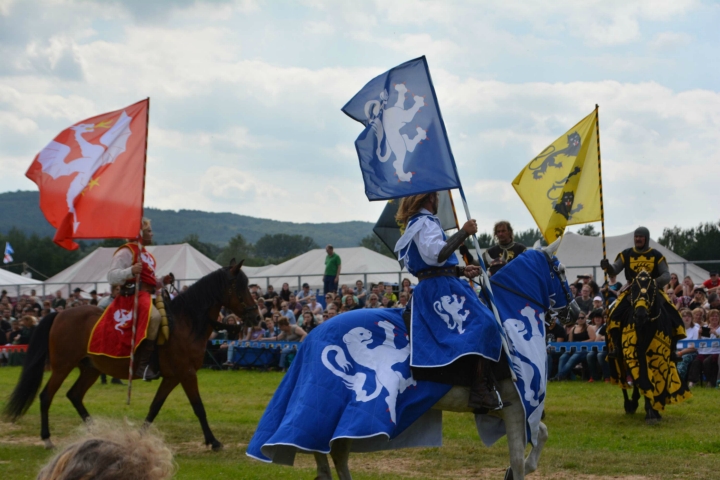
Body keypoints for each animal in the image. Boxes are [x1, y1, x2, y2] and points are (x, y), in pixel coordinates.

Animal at [3, 258, 258, 450]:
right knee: (46, 396)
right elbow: (198, 407)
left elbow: (155, 407)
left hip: (90, 369)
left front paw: (138, 437)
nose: (255, 315)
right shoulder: (186, 374)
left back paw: (95, 431)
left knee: (74, 395)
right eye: (240, 286)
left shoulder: (172, 377)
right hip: (62, 366)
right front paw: (213, 441)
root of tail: (59, 314)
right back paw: (47, 439)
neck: (186, 322)